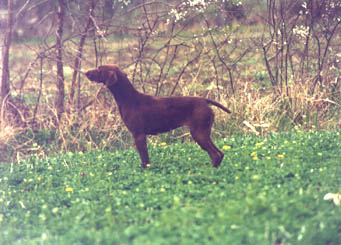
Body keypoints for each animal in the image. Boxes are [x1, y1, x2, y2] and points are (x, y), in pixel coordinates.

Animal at [84, 64, 231, 167]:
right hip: (204, 133)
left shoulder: (138, 135)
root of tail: (205, 101)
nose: (85, 72)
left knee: (216, 154)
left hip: (199, 133)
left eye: (99, 69)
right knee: (219, 154)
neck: (129, 99)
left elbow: (145, 160)